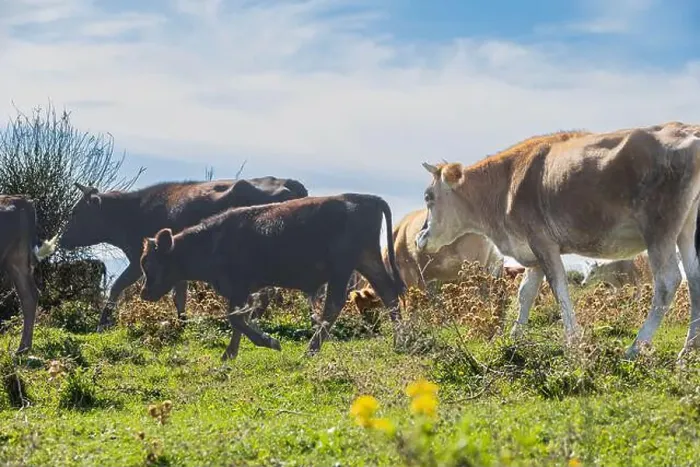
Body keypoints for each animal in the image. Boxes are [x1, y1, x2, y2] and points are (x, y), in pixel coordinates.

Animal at [0, 195, 58, 353]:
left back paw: (22, 348)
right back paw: (23, 348)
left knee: (28, 296)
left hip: (15, 258)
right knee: (29, 296)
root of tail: (22, 199)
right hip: (17, 259)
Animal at [57, 176, 309, 331]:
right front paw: (182, 321)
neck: (133, 212)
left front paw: (103, 323)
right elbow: (179, 296)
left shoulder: (139, 261)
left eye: (76, 212)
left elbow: (117, 286)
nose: (61, 239)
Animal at [138, 193, 406, 360]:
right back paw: (401, 340)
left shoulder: (240, 287)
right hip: (367, 262)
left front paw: (269, 342)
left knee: (334, 305)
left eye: (149, 263)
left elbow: (236, 318)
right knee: (389, 294)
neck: (214, 240)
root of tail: (366, 199)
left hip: (343, 269)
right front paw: (229, 354)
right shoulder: (242, 291)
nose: (144, 293)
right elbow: (240, 318)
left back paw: (310, 350)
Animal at [416, 122, 700, 362]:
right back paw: (688, 350)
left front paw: (574, 342)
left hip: (660, 226)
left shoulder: (543, 241)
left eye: (428, 197)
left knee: (668, 281)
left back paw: (635, 348)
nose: (420, 237)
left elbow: (559, 290)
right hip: (686, 230)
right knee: (694, 280)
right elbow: (525, 293)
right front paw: (514, 339)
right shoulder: (531, 250)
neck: (506, 184)